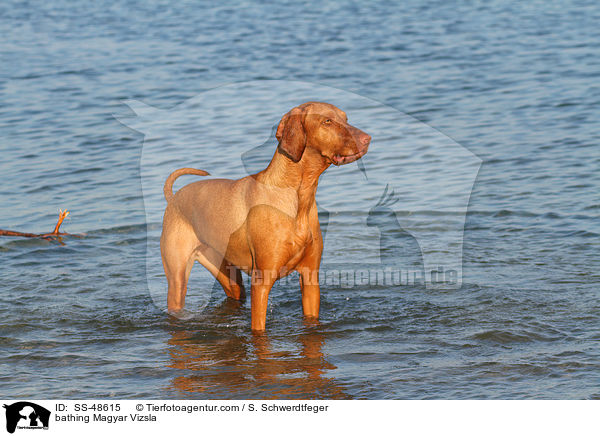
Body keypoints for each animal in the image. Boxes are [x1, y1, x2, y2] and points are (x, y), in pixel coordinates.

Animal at [162, 102, 370, 330]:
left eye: (345, 118)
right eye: (327, 121)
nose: (367, 138)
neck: (298, 196)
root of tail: (174, 197)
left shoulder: (310, 279)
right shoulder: (261, 282)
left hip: (227, 275)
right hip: (177, 279)